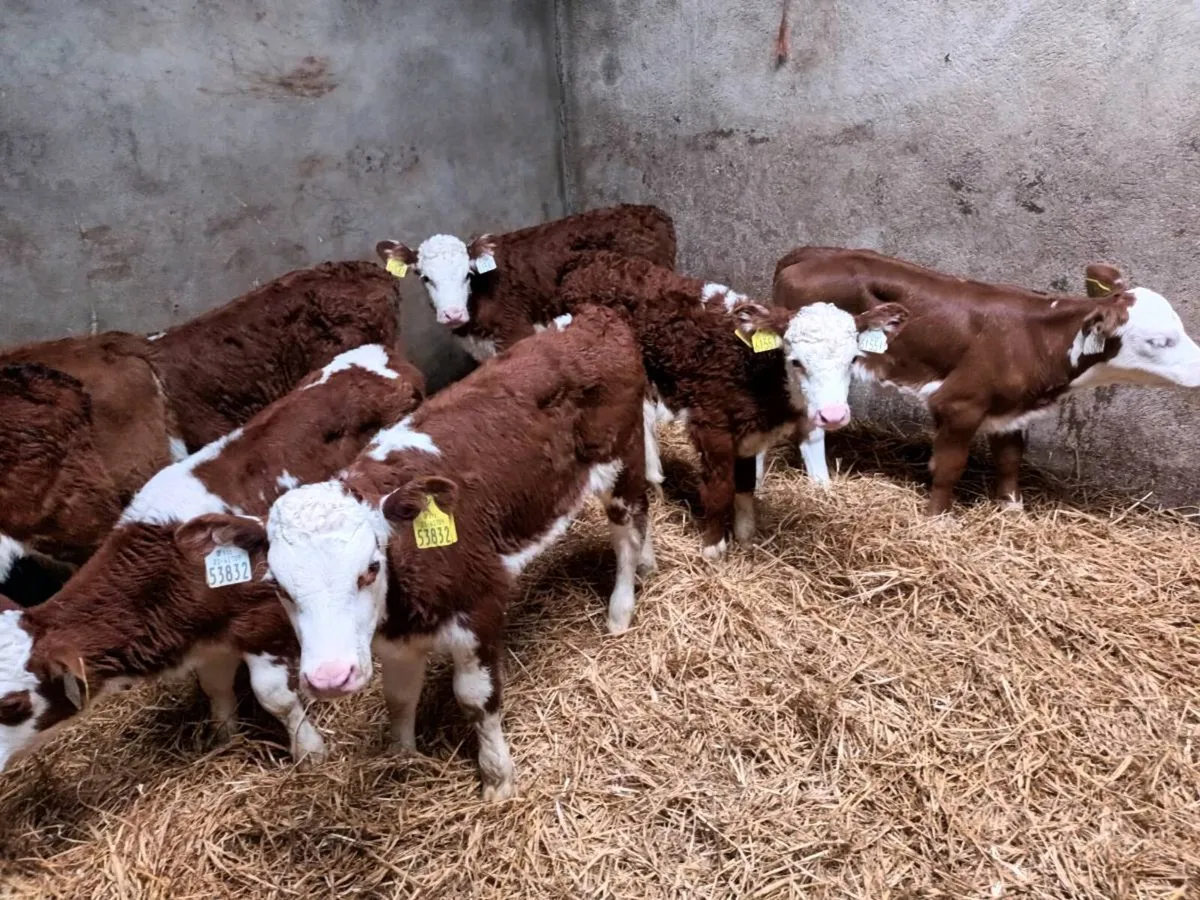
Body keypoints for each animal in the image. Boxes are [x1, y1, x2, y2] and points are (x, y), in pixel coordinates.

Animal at [0, 345, 424, 772]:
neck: (172, 564)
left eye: (12, 704)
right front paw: (225, 738)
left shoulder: (262, 621)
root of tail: (382, 354)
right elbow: (215, 688)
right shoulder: (209, 638)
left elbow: (274, 696)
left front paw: (310, 751)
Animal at [174, 305, 651, 802]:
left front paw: (497, 778)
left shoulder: (480, 607)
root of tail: (595, 316)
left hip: (620, 458)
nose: (330, 678)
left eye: (370, 568)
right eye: (278, 586)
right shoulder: (395, 642)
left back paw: (620, 608)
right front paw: (402, 756)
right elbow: (399, 697)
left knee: (629, 528)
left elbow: (477, 699)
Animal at [554, 251, 909, 559]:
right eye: (795, 361)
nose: (832, 415)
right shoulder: (711, 423)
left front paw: (746, 537)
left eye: (853, 359)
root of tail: (589, 263)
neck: (756, 368)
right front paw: (713, 548)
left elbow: (746, 485)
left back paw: (655, 480)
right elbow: (721, 489)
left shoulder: (750, 433)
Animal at [773, 248, 1200, 514]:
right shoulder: (960, 402)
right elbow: (950, 466)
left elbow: (1010, 459)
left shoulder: (1011, 407)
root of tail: (811, 253)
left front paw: (1011, 508)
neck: (1035, 339)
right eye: (1159, 340)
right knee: (812, 426)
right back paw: (821, 485)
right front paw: (936, 518)